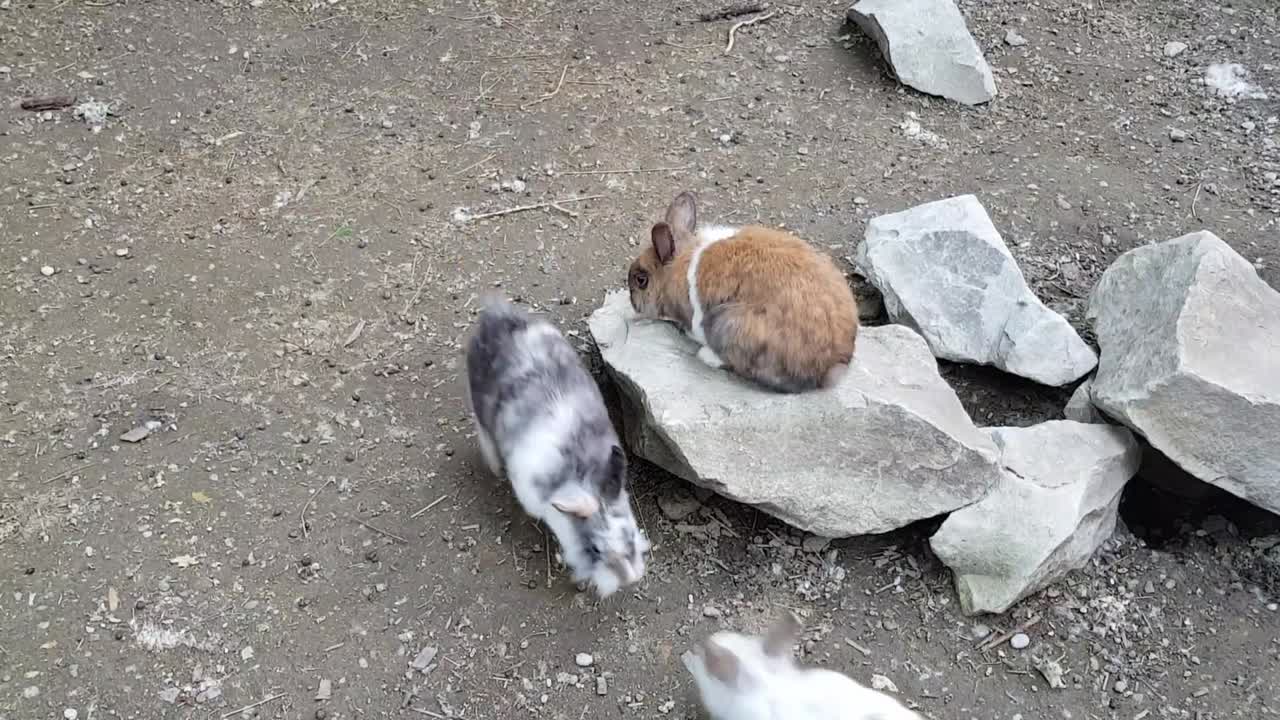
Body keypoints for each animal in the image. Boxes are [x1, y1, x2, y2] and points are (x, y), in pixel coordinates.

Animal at [463, 294, 650, 598]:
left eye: (630, 534)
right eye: (595, 549)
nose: (630, 579)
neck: (579, 477)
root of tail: (495, 314)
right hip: (478, 404)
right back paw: (495, 468)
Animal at [626, 191, 859, 393]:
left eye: (641, 280)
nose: (633, 303)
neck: (680, 263)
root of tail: (833, 363)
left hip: (726, 322)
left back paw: (706, 355)